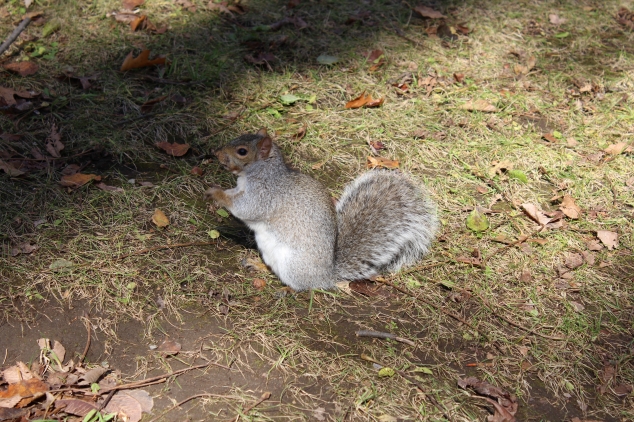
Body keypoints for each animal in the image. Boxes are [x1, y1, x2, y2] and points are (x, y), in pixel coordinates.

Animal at [205, 129, 436, 292]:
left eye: (242, 151)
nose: (216, 153)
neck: (260, 173)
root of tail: (327, 276)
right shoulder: (241, 188)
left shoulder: (264, 195)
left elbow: (245, 208)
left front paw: (216, 194)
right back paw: (257, 264)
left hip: (293, 265)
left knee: (303, 286)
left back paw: (288, 289)